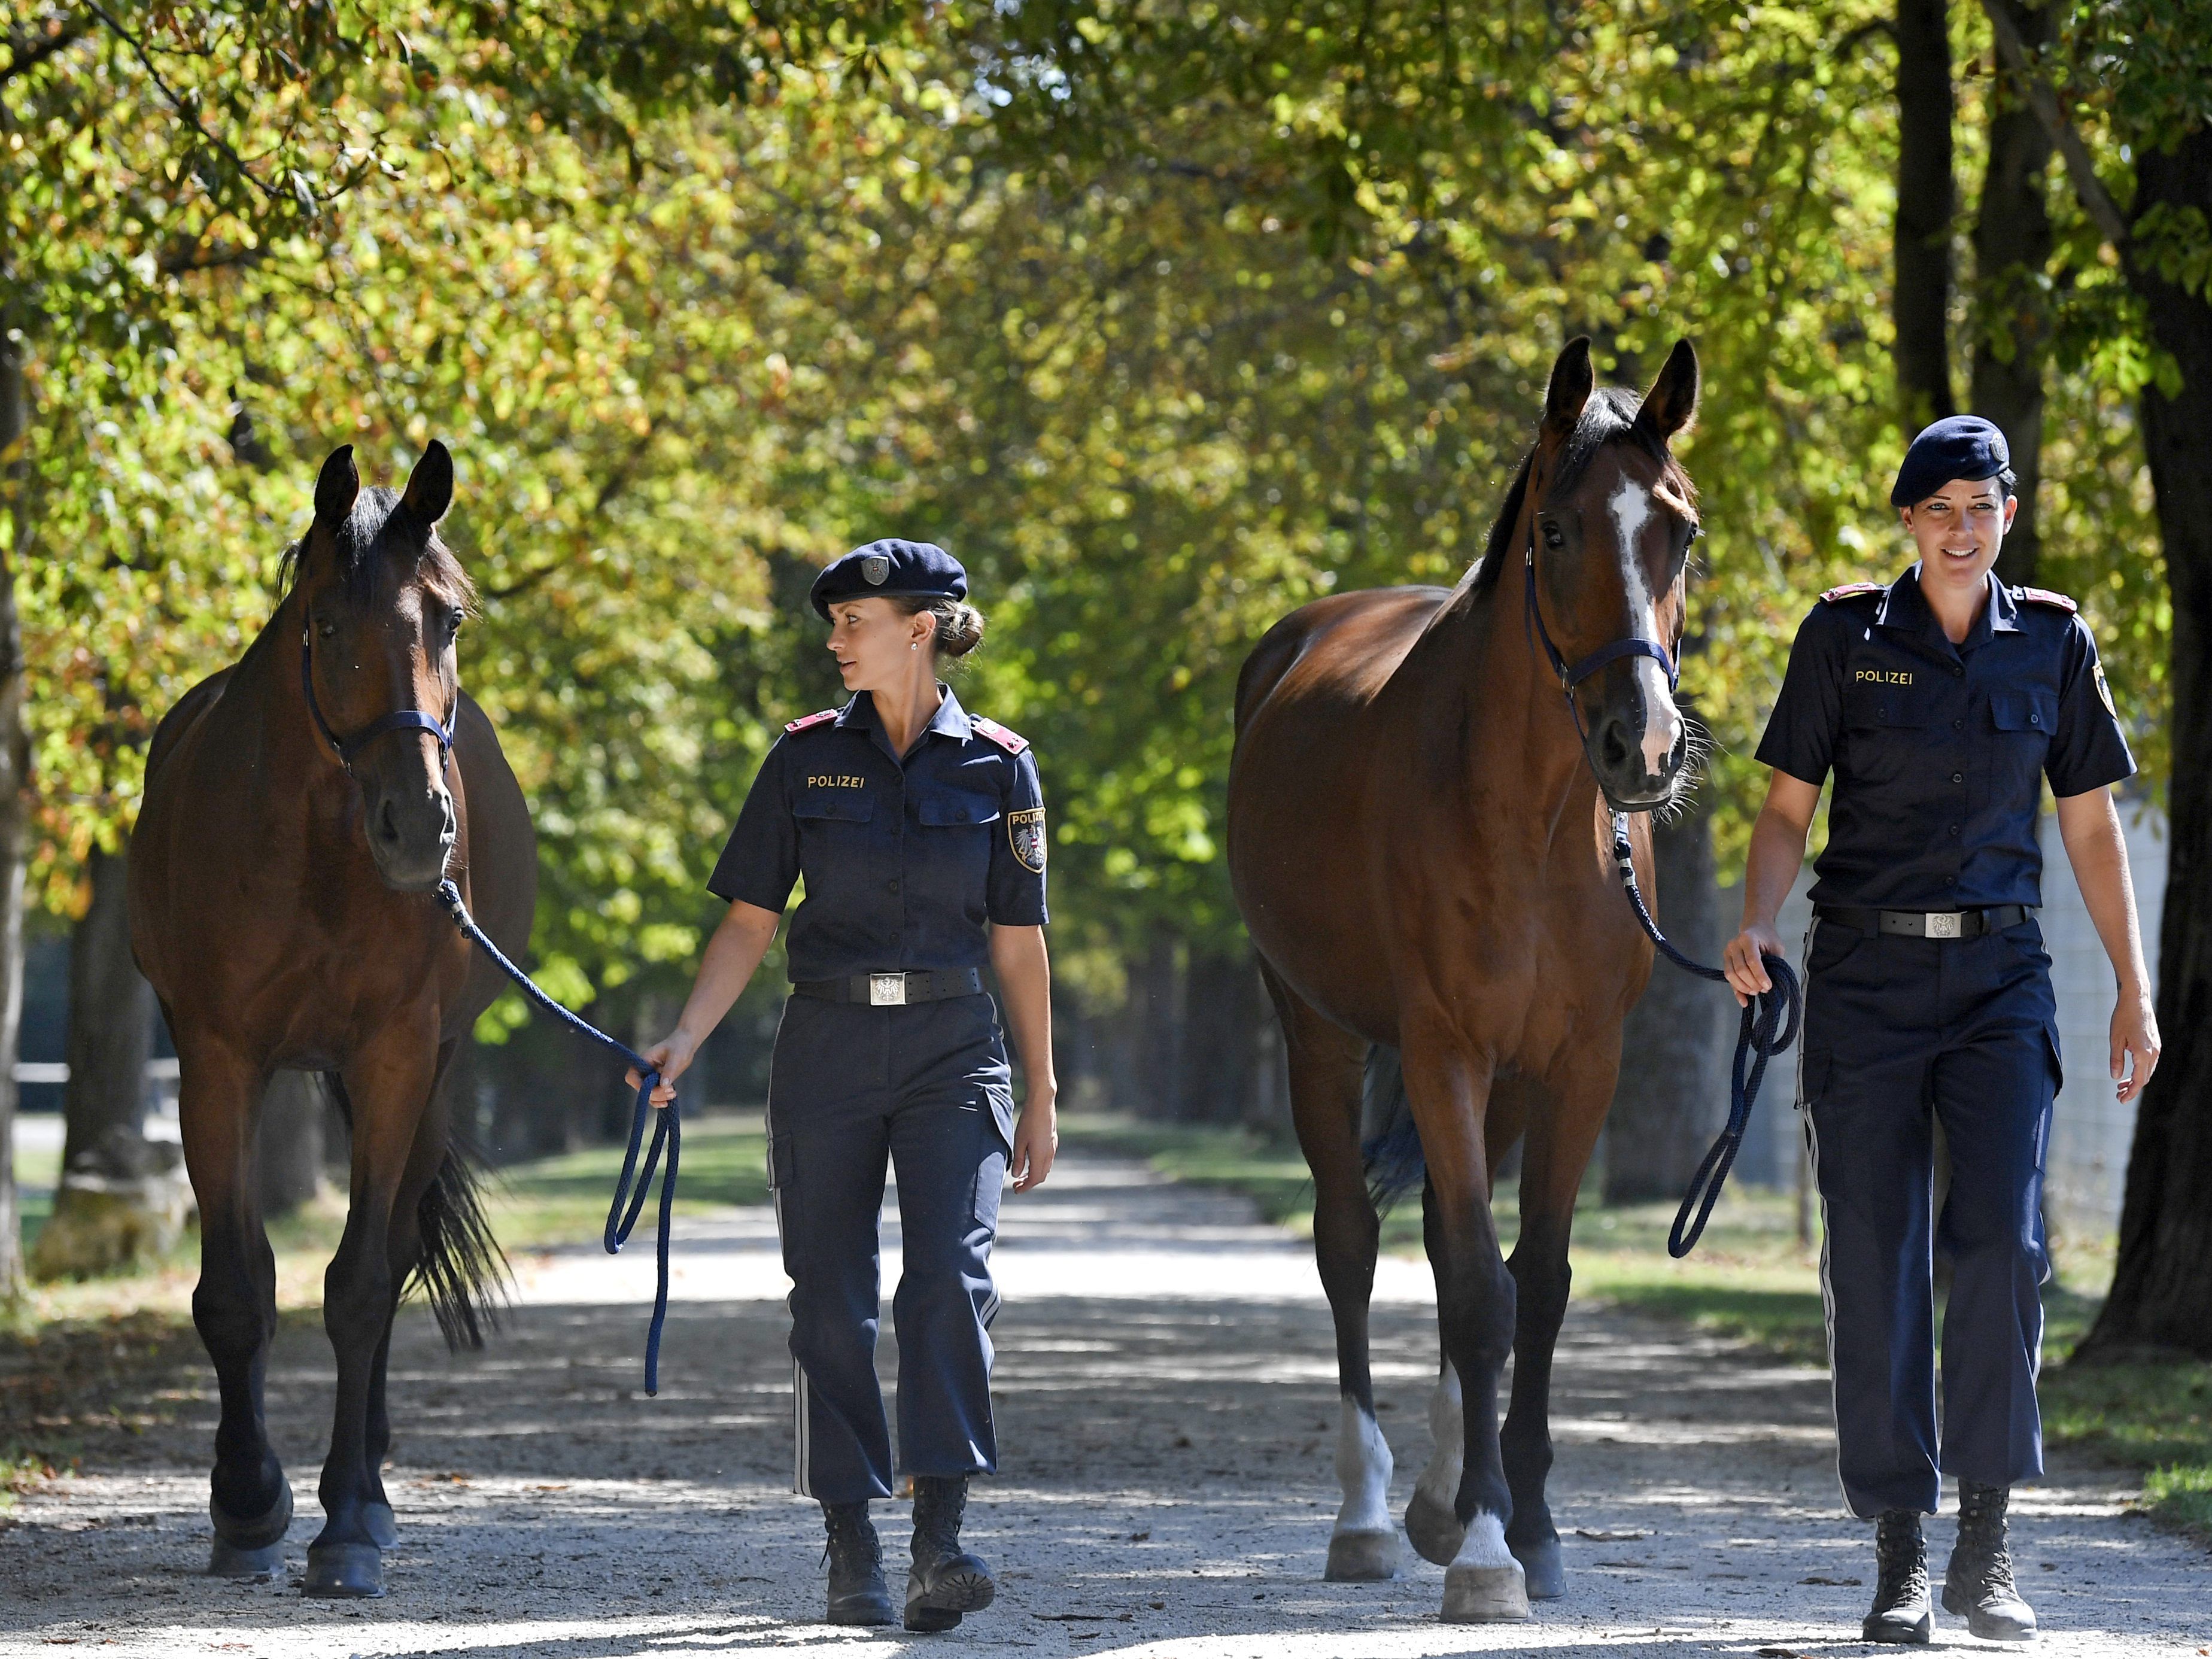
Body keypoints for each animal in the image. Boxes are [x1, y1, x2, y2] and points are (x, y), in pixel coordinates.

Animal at [130, 442, 535, 1601]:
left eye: (448, 618)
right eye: (325, 625)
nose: (418, 826)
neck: (318, 843)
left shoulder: (395, 1057)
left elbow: (358, 1286)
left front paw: (347, 1519)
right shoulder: (218, 1060)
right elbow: (235, 1290)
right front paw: (247, 1502)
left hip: (432, 1079)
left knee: (394, 1253)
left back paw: (376, 1482)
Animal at [1229, 338, 1690, 1628]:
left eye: (1680, 529)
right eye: (1557, 531)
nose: (1646, 746)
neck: (1530, 823)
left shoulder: (1576, 1066)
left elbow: (1536, 1283)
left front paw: (1524, 1524)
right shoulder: (1443, 1049)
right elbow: (1482, 1291)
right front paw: (1489, 1551)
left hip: (1504, 1084)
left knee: (1444, 1241)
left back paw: (1439, 1494)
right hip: (1320, 1033)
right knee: (1350, 1243)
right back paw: (1370, 1516)